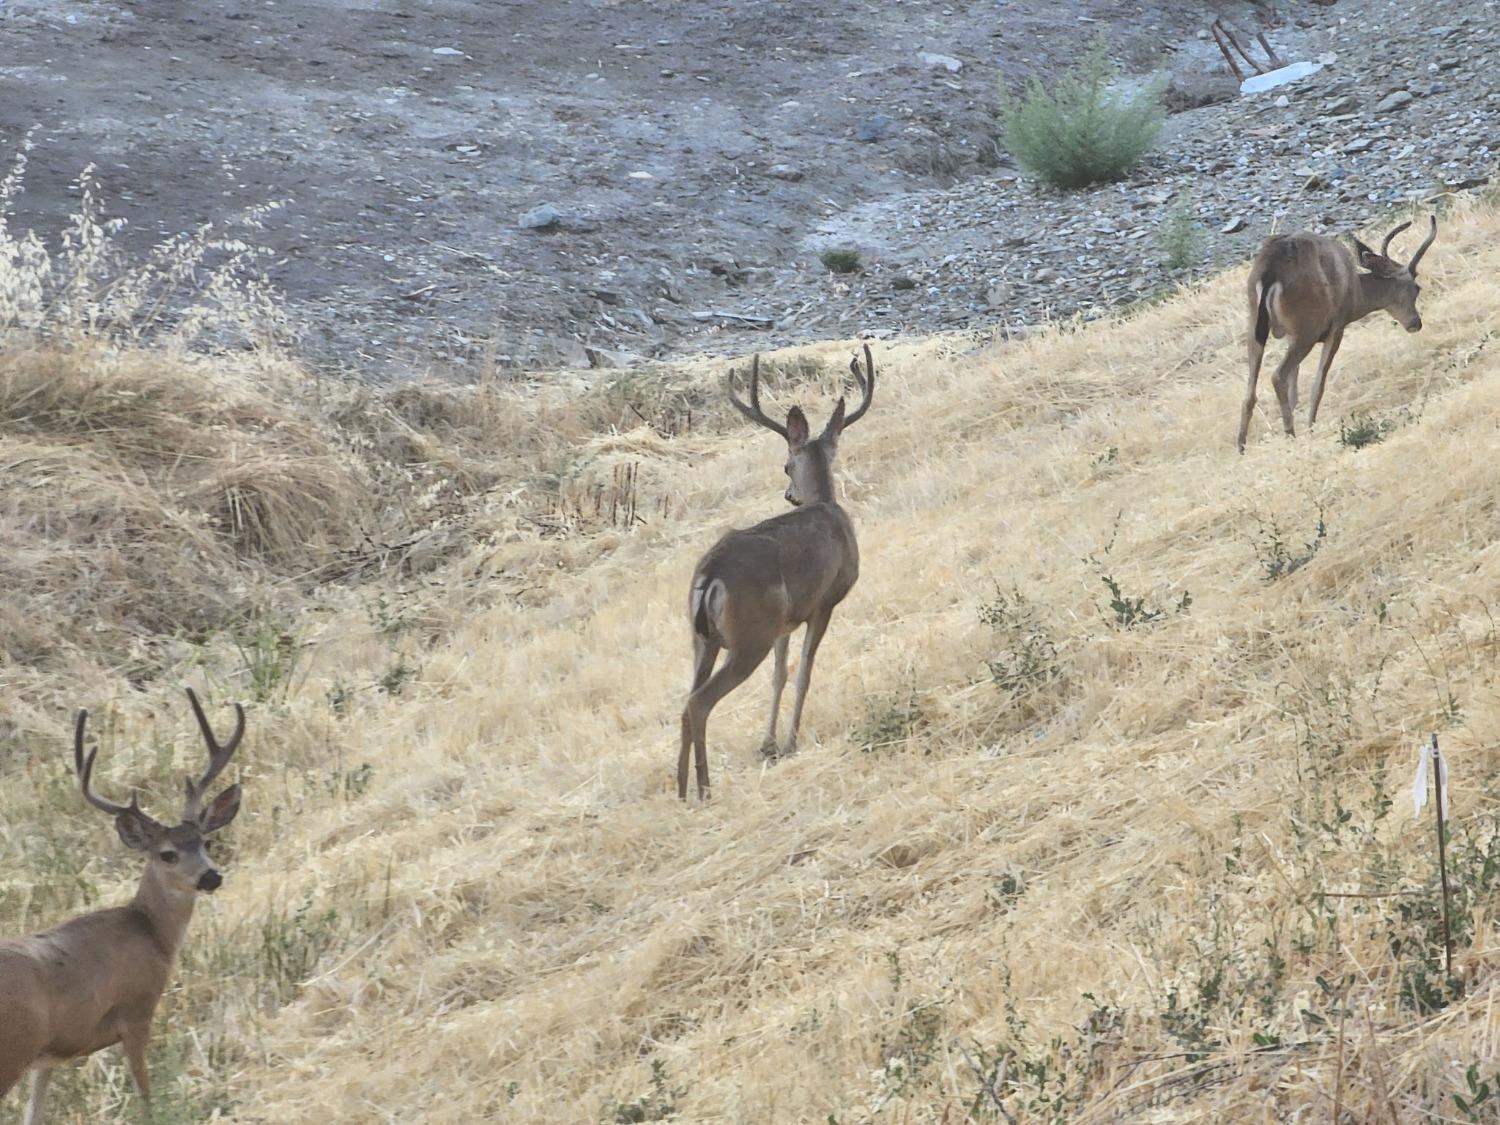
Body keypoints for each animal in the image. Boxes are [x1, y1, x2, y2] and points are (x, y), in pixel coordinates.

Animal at [1, 693, 246, 1122]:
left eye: (206, 842)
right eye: (167, 854)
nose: (211, 877)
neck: (151, 932)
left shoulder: (50, 1056)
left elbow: (34, 1112)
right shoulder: (137, 1010)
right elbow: (146, 1097)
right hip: (12, 1046)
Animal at [675, 343, 876, 804]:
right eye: (787, 466)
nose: (789, 495)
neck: (827, 506)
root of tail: (710, 575)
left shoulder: (785, 622)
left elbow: (779, 676)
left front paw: (767, 744)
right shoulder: (824, 602)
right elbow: (803, 672)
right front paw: (789, 743)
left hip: (703, 638)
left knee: (685, 700)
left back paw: (679, 787)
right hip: (750, 633)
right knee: (699, 702)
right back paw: (705, 788)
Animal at [1236, 213, 1434, 453]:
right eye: (1416, 288)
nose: (1416, 323)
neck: (1356, 294)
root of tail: (1269, 270)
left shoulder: (1292, 335)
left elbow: (1295, 392)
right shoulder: (1336, 327)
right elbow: (1318, 384)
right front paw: (1310, 426)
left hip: (1255, 326)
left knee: (1250, 392)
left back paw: (1241, 445)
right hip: (1307, 328)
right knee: (1277, 375)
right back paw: (1290, 434)